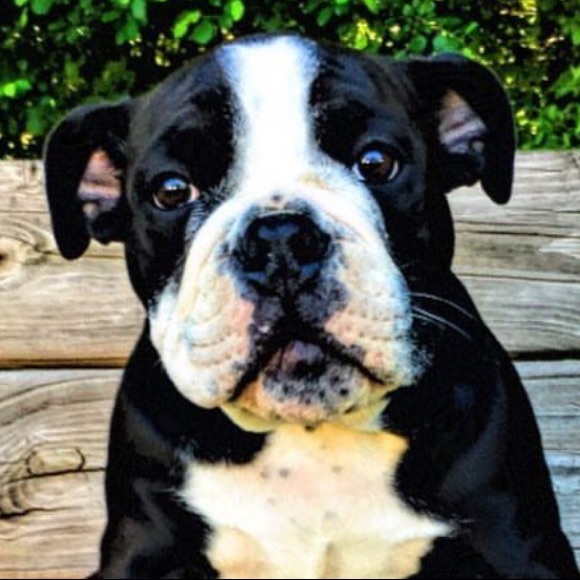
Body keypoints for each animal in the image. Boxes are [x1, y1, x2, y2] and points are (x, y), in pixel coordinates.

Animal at [44, 33, 579, 579]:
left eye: (377, 163)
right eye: (171, 191)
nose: (279, 238)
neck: (312, 437)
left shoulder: (516, 546)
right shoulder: (143, 549)